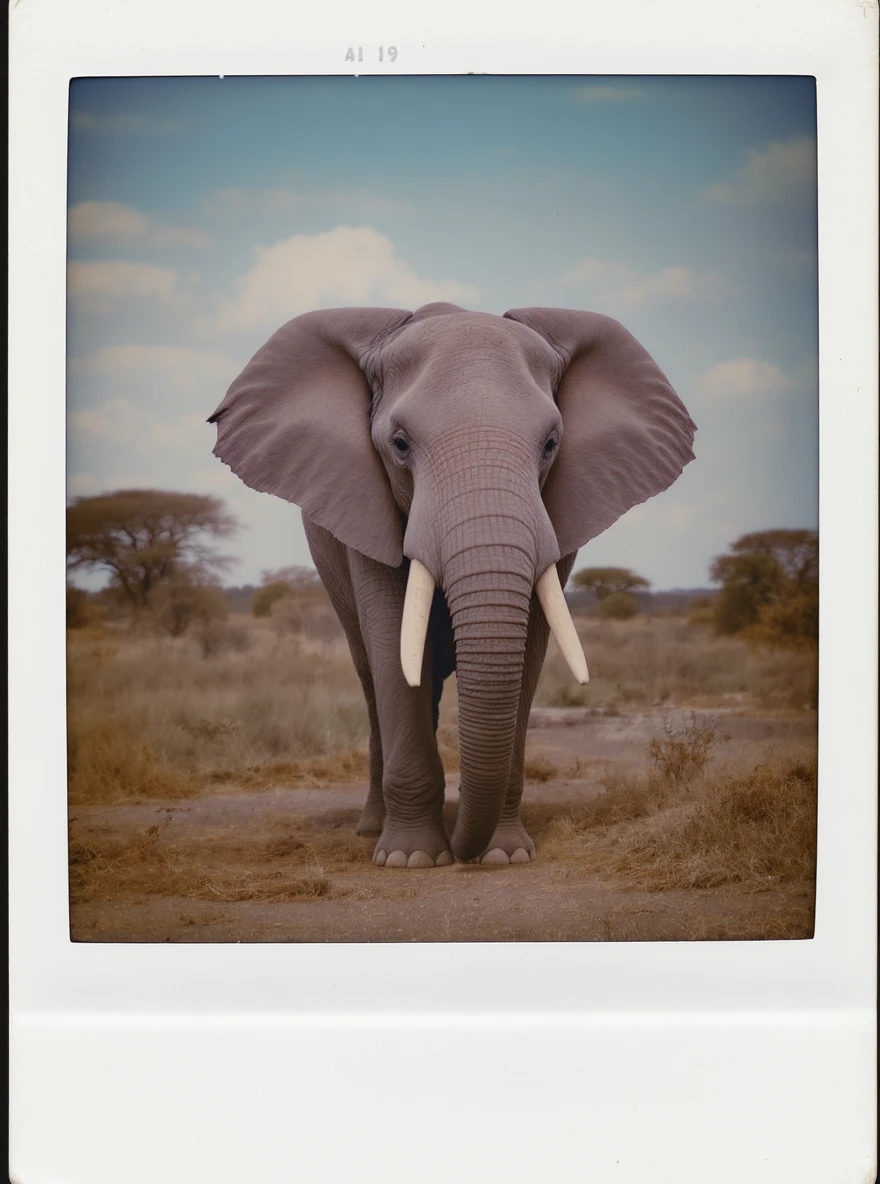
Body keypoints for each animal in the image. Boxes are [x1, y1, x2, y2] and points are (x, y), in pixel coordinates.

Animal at [208, 303, 696, 868]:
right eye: (399, 445)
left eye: (551, 445)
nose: (466, 853)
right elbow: (392, 643)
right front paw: (411, 860)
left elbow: (529, 647)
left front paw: (504, 856)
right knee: (371, 677)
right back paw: (370, 829)